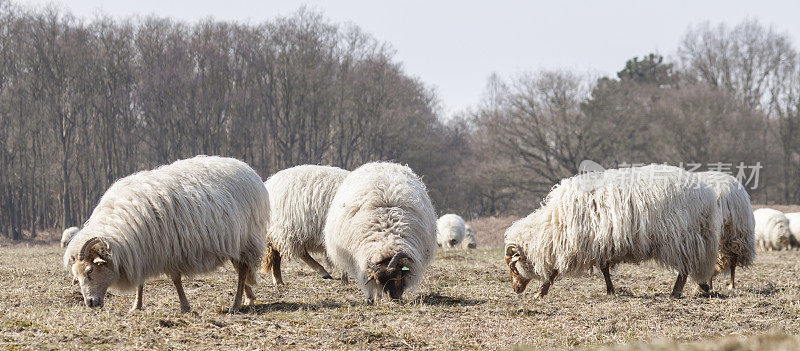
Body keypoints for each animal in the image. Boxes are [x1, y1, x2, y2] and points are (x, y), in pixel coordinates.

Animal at [62, 157, 268, 314]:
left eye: (90, 271)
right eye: (76, 275)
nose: (90, 303)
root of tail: (248, 170)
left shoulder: (167, 250)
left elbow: (175, 280)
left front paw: (184, 306)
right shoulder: (142, 251)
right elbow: (141, 282)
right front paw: (136, 306)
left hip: (247, 240)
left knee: (242, 271)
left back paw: (235, 305)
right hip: (235, 242)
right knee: (242, 270)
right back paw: (249, 298)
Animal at [324, 162, 438, 302]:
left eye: (397, 276)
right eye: (380, 282)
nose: (394, 298)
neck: (386, 238)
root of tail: (380, 164)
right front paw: (372, 298)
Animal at [504, 165, 720, 300]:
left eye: (513, 267)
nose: (515, 289)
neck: (552, 225)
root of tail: (706, 193)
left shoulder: (573, 244)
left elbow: (554, 271)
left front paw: (541, 292)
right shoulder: (600, 243)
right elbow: (605, 268)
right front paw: (610, 290)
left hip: (681, 237)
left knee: (684, 270)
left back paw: (675, 293)